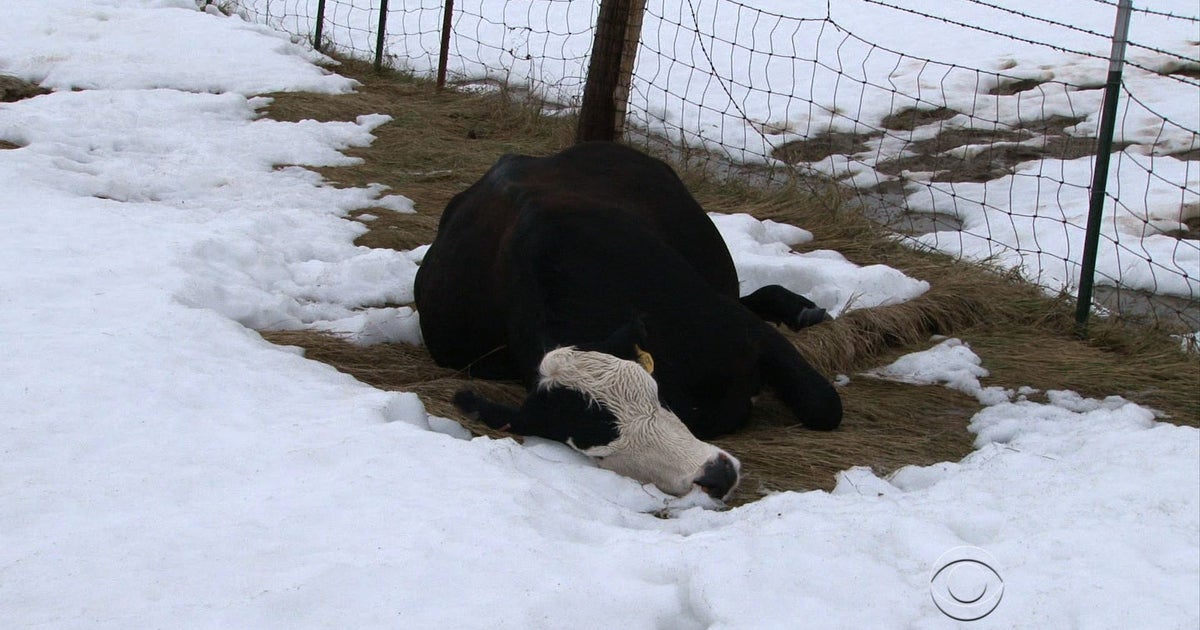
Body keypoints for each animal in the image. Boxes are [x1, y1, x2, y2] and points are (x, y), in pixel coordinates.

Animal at [414, 142, 841, 501]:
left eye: (656, 395)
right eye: (600, 454)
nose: (715, 476)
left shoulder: (744, 331)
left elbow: (824, 406)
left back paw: (803, 310)